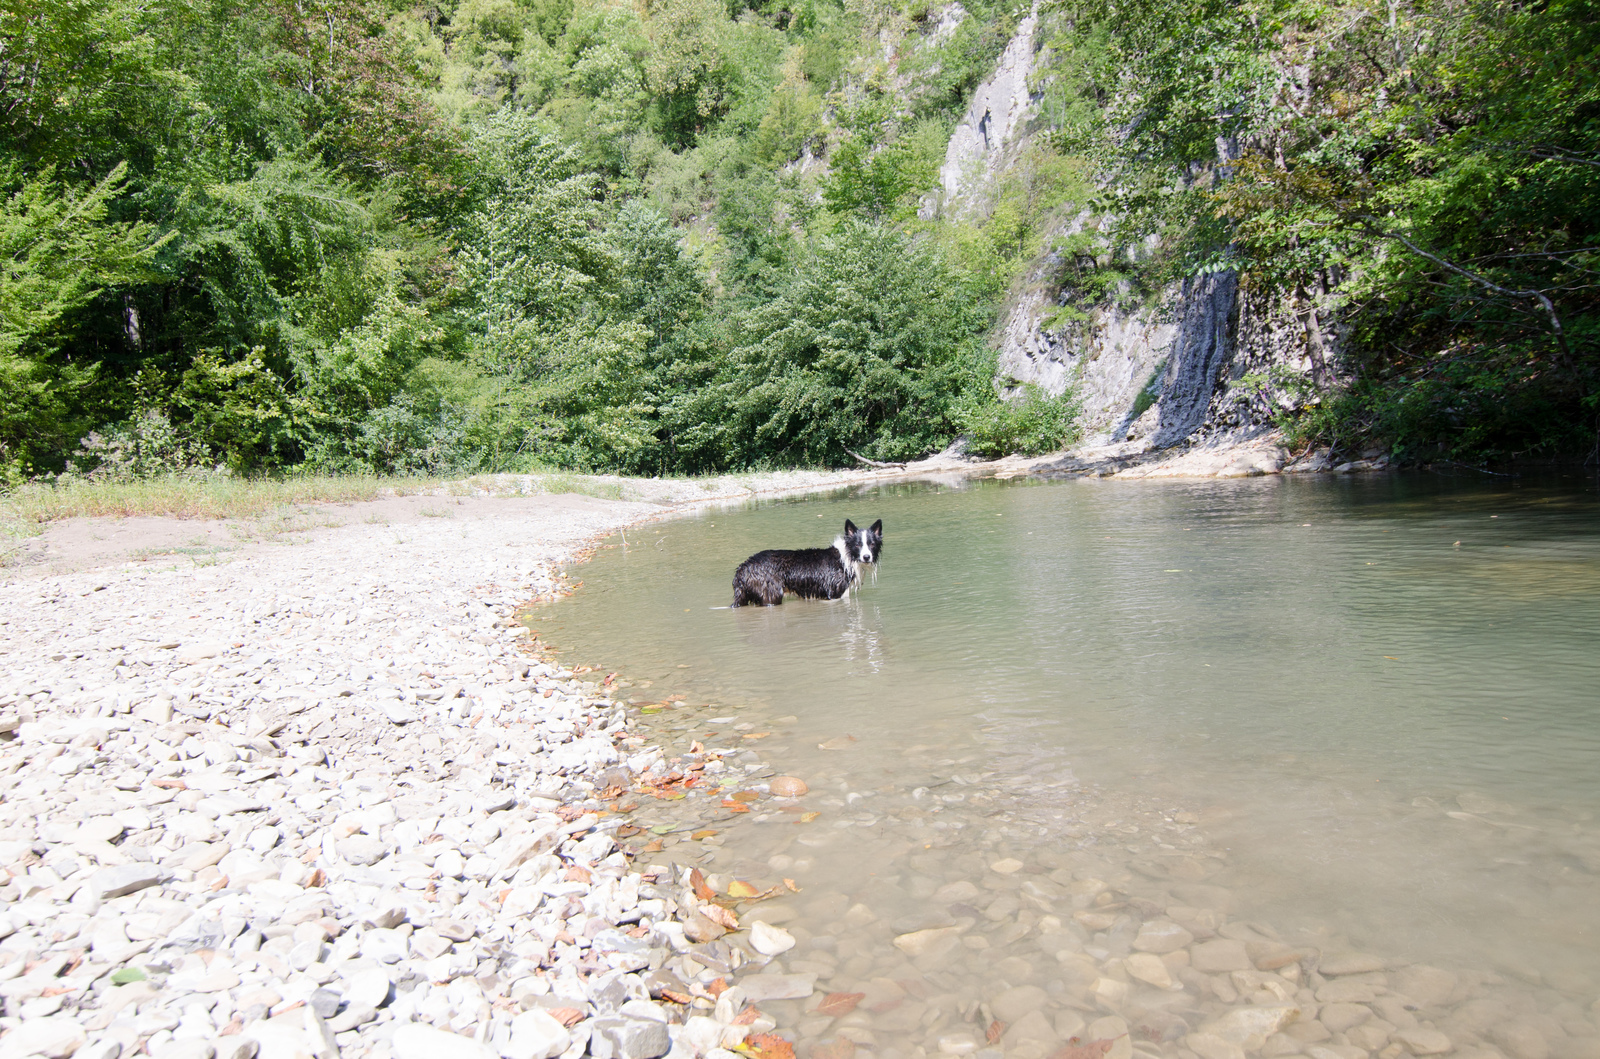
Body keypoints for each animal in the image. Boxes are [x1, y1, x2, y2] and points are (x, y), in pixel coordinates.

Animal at [732, 521, 883, 611]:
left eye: (872, 544)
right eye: (858, 545)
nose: (866, 557)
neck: (847, 556)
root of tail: (743, 568)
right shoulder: (835, 594)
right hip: (771, 595)